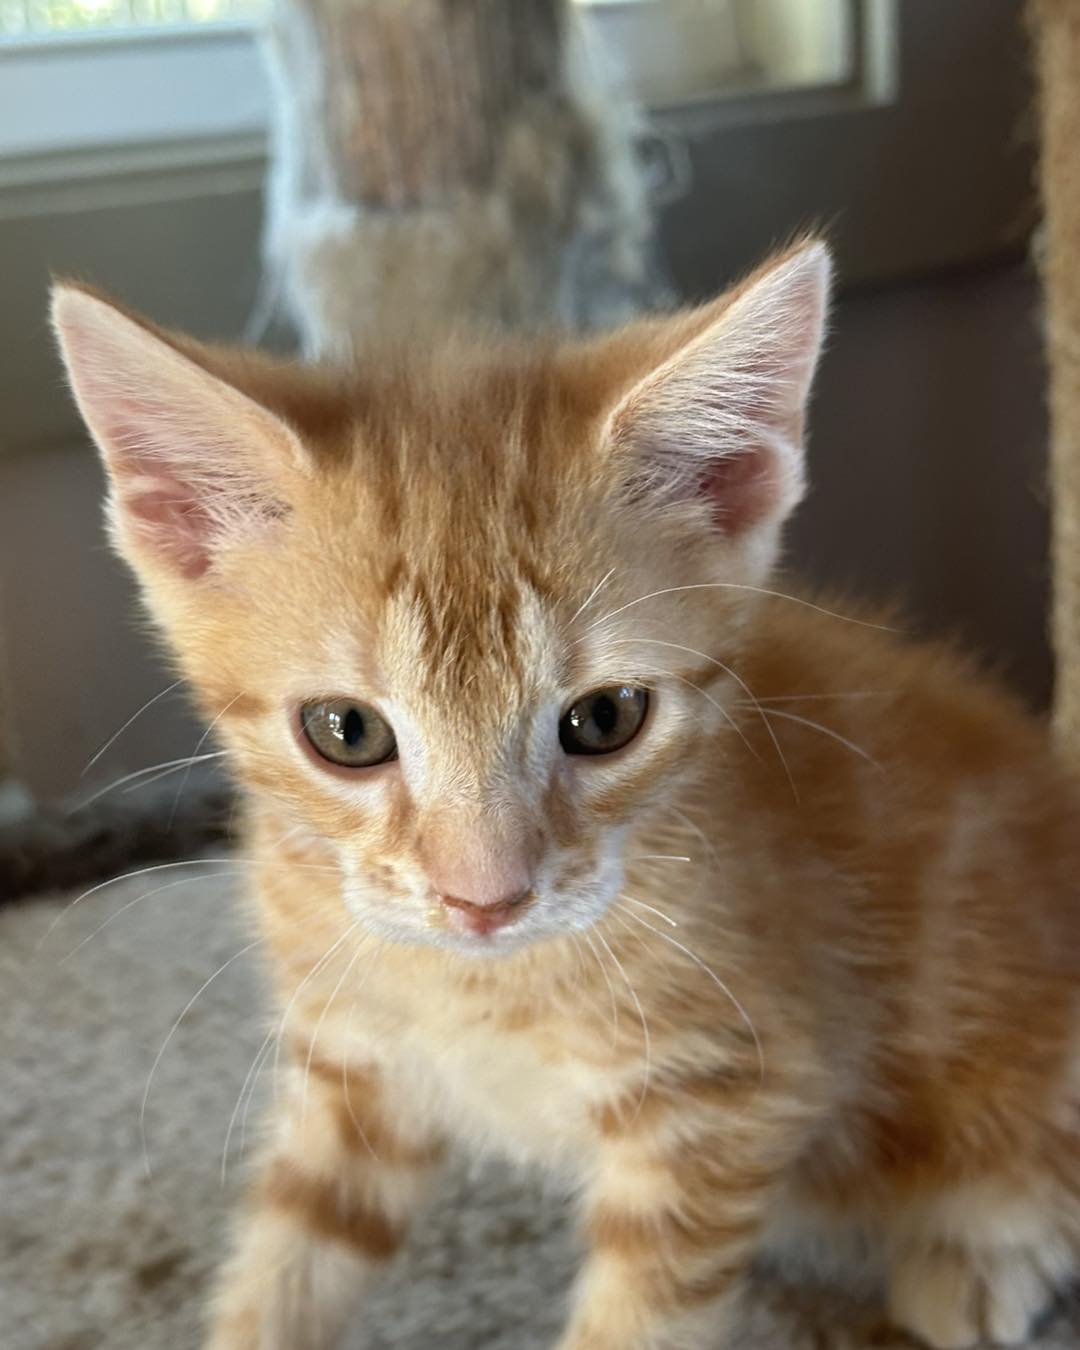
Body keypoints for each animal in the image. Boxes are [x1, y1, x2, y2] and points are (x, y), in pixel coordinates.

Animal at [52, 245, 1080, 1350]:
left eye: (605, 719)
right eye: (346, 733)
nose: (484, 900)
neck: (482, 985)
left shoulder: (726, 1098)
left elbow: (641, 1318)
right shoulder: (359, 1069)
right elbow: (295, 1251)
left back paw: (981, 1263)